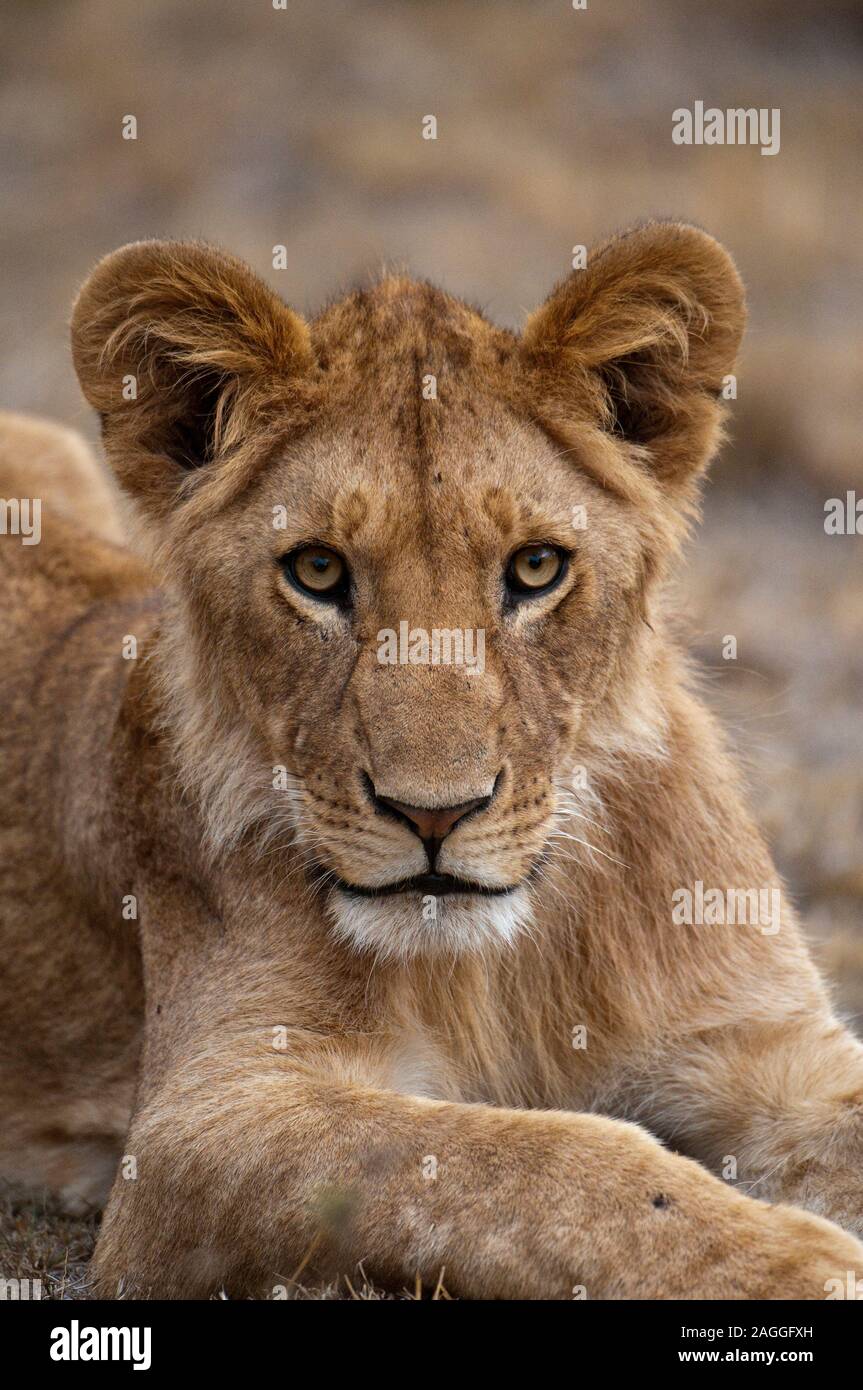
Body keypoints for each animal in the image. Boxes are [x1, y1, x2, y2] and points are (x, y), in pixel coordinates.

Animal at [2, 222, 863, 1300]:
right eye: (316, 570)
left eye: (535, 568)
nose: (434, 814)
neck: (508, 957)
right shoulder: (193, 1130)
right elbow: (533, 1159)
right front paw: (797, 1261)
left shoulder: (764, 1043)